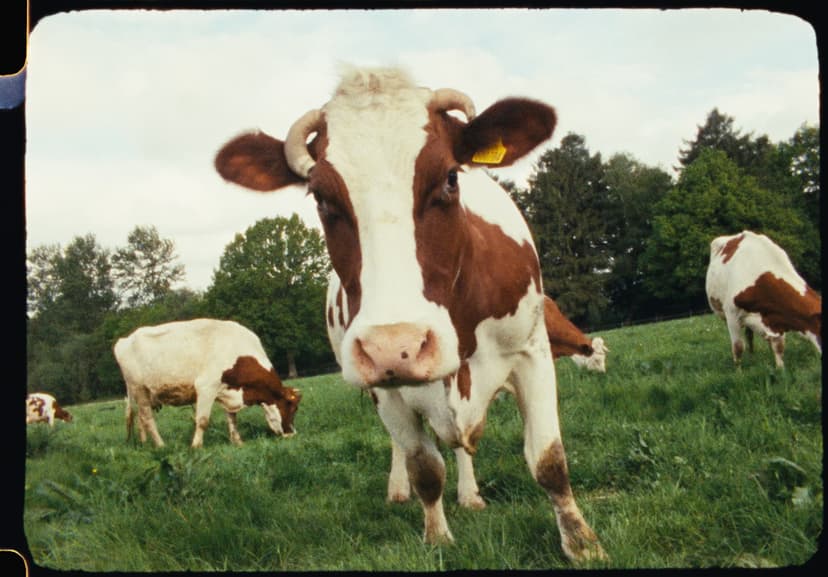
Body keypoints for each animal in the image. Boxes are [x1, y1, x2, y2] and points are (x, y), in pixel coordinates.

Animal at [114, 318, 301, 448]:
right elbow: (203, 420)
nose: (292, 434)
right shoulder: (206, 387)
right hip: (139, 388)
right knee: (147, 418)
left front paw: (237, 442)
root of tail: (125, 340)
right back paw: (161, 445)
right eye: (291, 406)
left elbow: (232, 418)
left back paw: (145, 443)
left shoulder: (227, 390)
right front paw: (196, 446)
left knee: (139, 418)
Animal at [215, 66, 604, 562]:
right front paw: (436, 536)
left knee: (460, 446)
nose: (394, 347)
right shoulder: (388, 390)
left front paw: (582, 543)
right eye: (321, 198)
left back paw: (470, 494)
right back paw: (400, 489)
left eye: (451, 178)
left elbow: (549, 459)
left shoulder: (532, 352)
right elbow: (424, 468)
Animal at [705, 230, 821, 368]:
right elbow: (738, 347)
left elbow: (778, 345)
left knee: (751, 336)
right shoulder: (732, 315)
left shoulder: (776, 318)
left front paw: (780, 368)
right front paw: (738, 371)